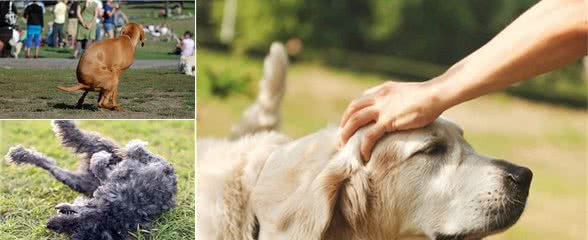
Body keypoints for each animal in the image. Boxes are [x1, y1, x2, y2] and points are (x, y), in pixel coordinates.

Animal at [4, 120, 177, 240]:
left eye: (72, 228)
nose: (50, 225)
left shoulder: (96, 184)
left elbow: (59, 167)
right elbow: (53, 165)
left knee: (82, 140)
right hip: (111, 152)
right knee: (86, 140)